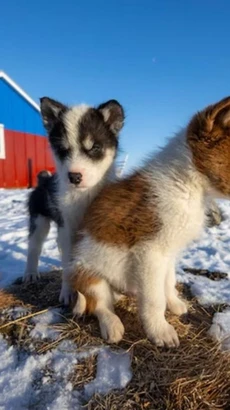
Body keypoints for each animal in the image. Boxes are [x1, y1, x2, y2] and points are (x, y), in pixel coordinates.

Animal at [40, 97, 125, 304]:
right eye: (62, 150)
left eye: (94, 147)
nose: (74, 177)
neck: (83, 196)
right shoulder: (66, 228)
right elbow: (68, 262)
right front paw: (67, 292)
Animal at [68, 97, 230, 348]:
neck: (185, 182)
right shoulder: (149, 252)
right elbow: (154, 299)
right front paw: (160, 331)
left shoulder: (168, 252)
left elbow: (168, 282)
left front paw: (174, 304)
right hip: (87, 274)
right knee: (100, 305)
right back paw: (112, 326)